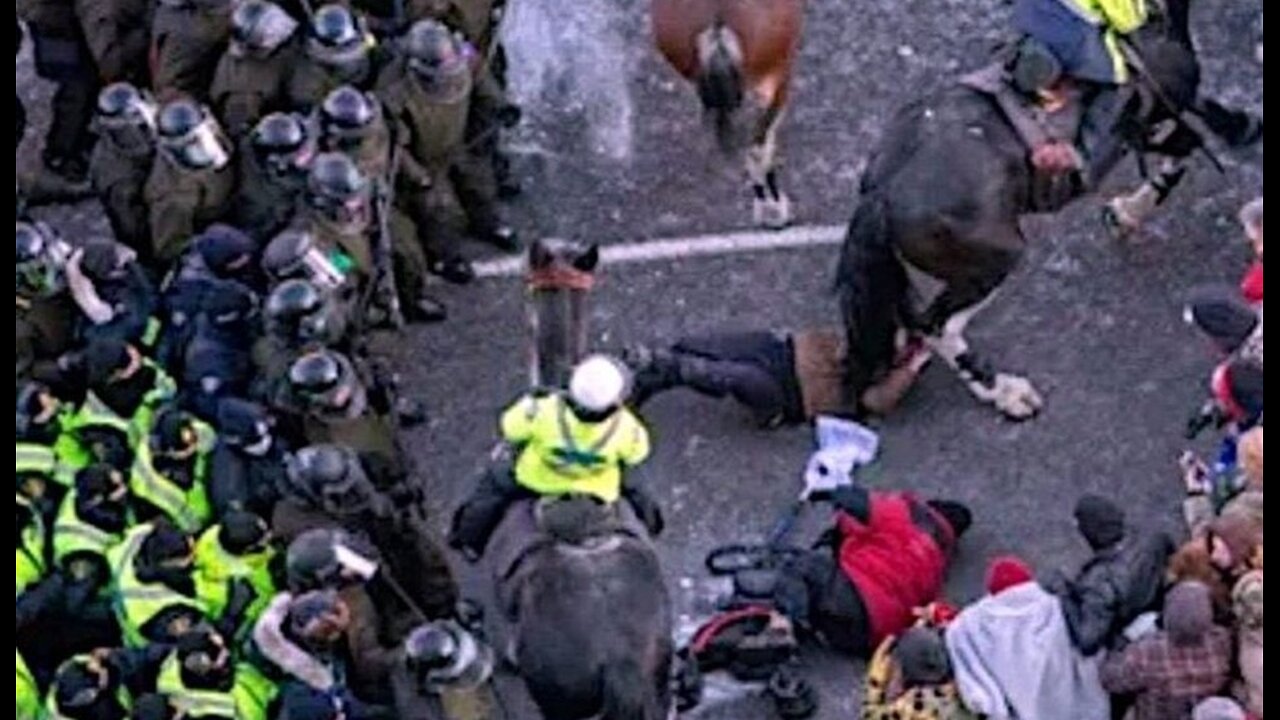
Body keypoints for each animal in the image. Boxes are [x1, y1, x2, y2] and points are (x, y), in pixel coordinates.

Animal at [829, 0, 1259, 417]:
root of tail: (881, 193)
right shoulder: (1155, 119)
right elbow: (1184, 151)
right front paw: (1131, 211)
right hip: (993, 260)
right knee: (938, 327)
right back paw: (1005, 393)